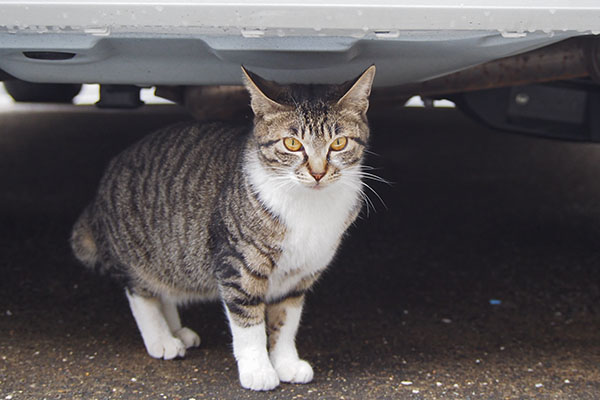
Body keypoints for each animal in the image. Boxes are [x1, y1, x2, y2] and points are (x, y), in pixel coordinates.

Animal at [71, 65, 376, 390]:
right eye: (292, 144)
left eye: (339, 143)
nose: (318, 173)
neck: (310, 205)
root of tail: (107, 176)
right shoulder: (240, 265)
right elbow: (248, 322)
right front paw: (258, 370)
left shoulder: (300, 275)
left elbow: (286, 321)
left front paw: (286, 363)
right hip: (135, 250)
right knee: (140, 294)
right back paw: (161, 338)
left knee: (163, 289)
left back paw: (177, 331)